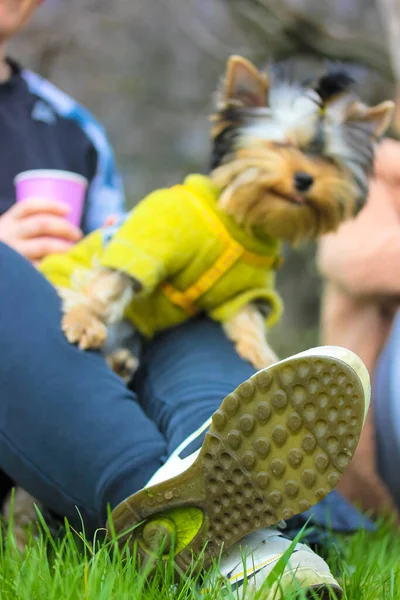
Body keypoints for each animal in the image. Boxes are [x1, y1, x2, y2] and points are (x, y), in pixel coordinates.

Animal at [4, 57, 396, 548]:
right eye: (282, 143)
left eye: (328, 159)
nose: (305, 180)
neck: (239, 224)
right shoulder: (152, 237)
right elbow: (112, 281)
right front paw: (84, 321)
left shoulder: (247, 290)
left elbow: (247, 318)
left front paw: (260, 353)